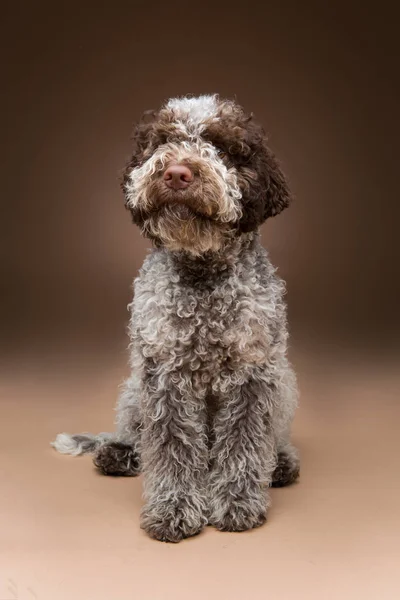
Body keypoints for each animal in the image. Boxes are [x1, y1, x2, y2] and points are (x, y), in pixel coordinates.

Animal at [54, 95, 302, 544]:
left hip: (285, 381)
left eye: (221, 147)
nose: (176, 173)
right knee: (138, 438)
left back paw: (280, 464)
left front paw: (237, 503)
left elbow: (244, 442)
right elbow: (171, 446)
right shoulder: (163, 374)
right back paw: (119, 452)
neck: (202, 275)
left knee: (268, 442)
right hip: (133, 388)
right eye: (163, 142)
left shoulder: (254, 374)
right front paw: (173, 507)